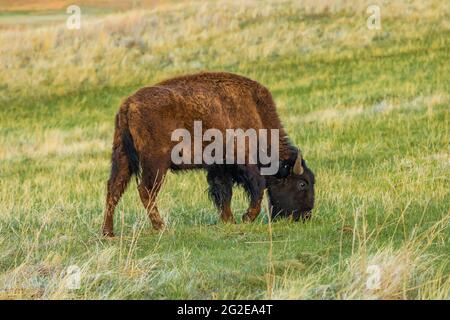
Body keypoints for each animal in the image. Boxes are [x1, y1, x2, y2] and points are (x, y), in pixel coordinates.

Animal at [102, 73, 314, 238]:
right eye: (302, 183)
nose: (306, 216)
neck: (255, 112)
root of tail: (127, 105)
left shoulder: (219, 167)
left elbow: (223, 192)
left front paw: (230, 221)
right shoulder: (242, 161)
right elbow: (257, 186)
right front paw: (246, 218)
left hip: (122, 157)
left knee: (114, 189)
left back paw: (108, 232)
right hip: (156, 163)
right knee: (145, 190)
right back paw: (161, 227)